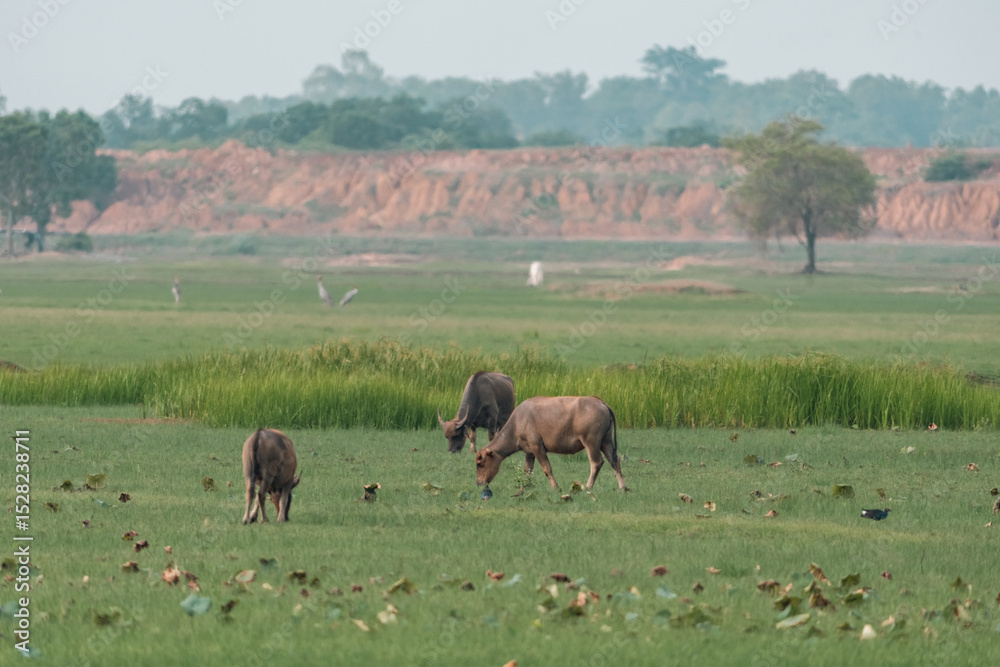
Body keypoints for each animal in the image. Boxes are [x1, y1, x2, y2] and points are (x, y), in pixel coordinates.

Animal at [475, 396, 628, 491]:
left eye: (480, 463)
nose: (479, 483)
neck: (518, 421)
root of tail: (601, 403)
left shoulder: (537, 448)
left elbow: (547, 468)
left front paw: (555, 487)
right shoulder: (530, 453)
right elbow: (527, 470)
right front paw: (525, 485)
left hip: (591, 443)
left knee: (596, 462)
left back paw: (588, 486)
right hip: (606, 441)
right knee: (615, 461)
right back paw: (623, 487)